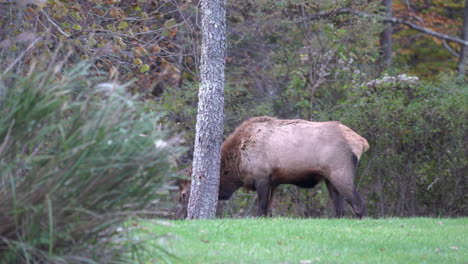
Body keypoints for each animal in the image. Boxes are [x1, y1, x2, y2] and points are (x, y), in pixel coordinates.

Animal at [176, 116, 370, 219]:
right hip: (330, 178)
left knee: (358, 203)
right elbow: (268, 210)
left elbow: (261, 209)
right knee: (339, 208)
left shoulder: (262, 177)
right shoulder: (274, 181)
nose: (182, 217)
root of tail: (361, 142)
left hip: (340, 172)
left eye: (183, 194)